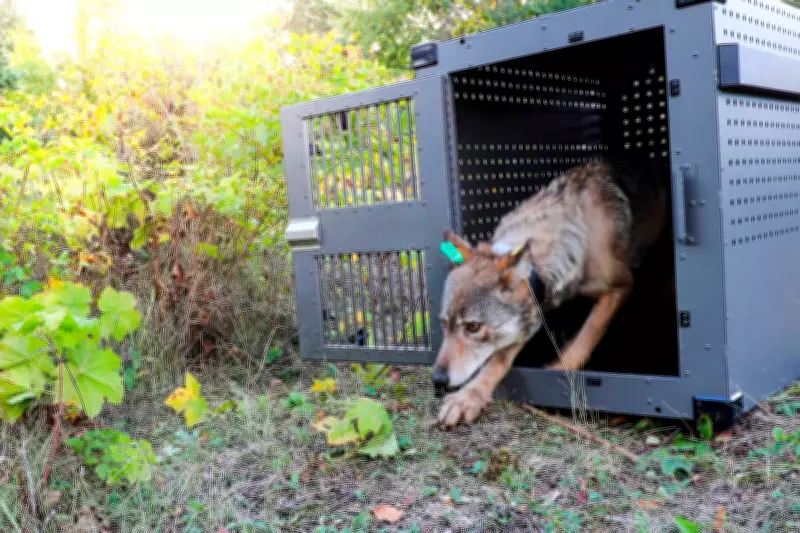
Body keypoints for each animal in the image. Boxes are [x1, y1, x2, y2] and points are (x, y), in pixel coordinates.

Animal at [433, 156, 670, 427]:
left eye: (473, 327)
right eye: (444, 324)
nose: (437, 380)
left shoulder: (621, 285)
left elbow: (589, 332)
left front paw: (560, 368)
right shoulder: (532, 311)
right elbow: (497, 359)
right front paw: (469, 397)